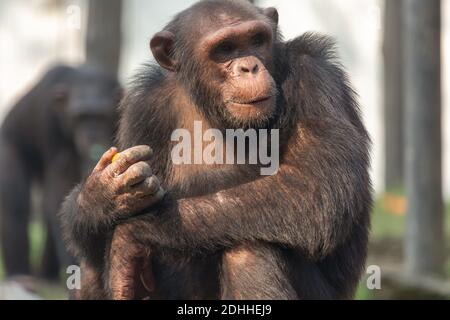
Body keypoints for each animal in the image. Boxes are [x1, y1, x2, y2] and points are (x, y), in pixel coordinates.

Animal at [0, 65, 121, 280]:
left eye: (100, 116)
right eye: (80, 117)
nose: (91, 134)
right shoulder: (49, 123)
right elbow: (61, 182)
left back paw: (46, 274)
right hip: (8, 139)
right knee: (16, 204)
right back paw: (19, 274)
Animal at [59, 0, 370, 300]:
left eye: (257, 40)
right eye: (224, 49)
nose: (249, 66)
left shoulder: (314, 77)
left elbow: (316, 186)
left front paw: (133, 232)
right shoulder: (143, 108)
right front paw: (103, 194)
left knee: (248, 250)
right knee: (89, 269)